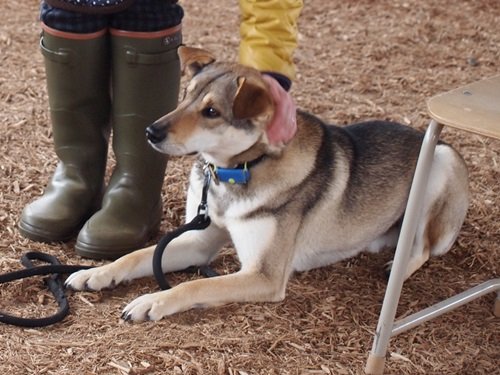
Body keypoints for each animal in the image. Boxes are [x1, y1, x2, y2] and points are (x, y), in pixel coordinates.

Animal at [65, 45, 468, 322]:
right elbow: (137, 256)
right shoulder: (198, 241)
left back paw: (396, 264)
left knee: (423, 247)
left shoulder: (263, 275)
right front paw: (95, 273)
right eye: (186, 96)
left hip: (441, 163)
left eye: (211, 112)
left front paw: (152, 301)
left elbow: (197, 284)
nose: (151, 131)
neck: (233, 171)